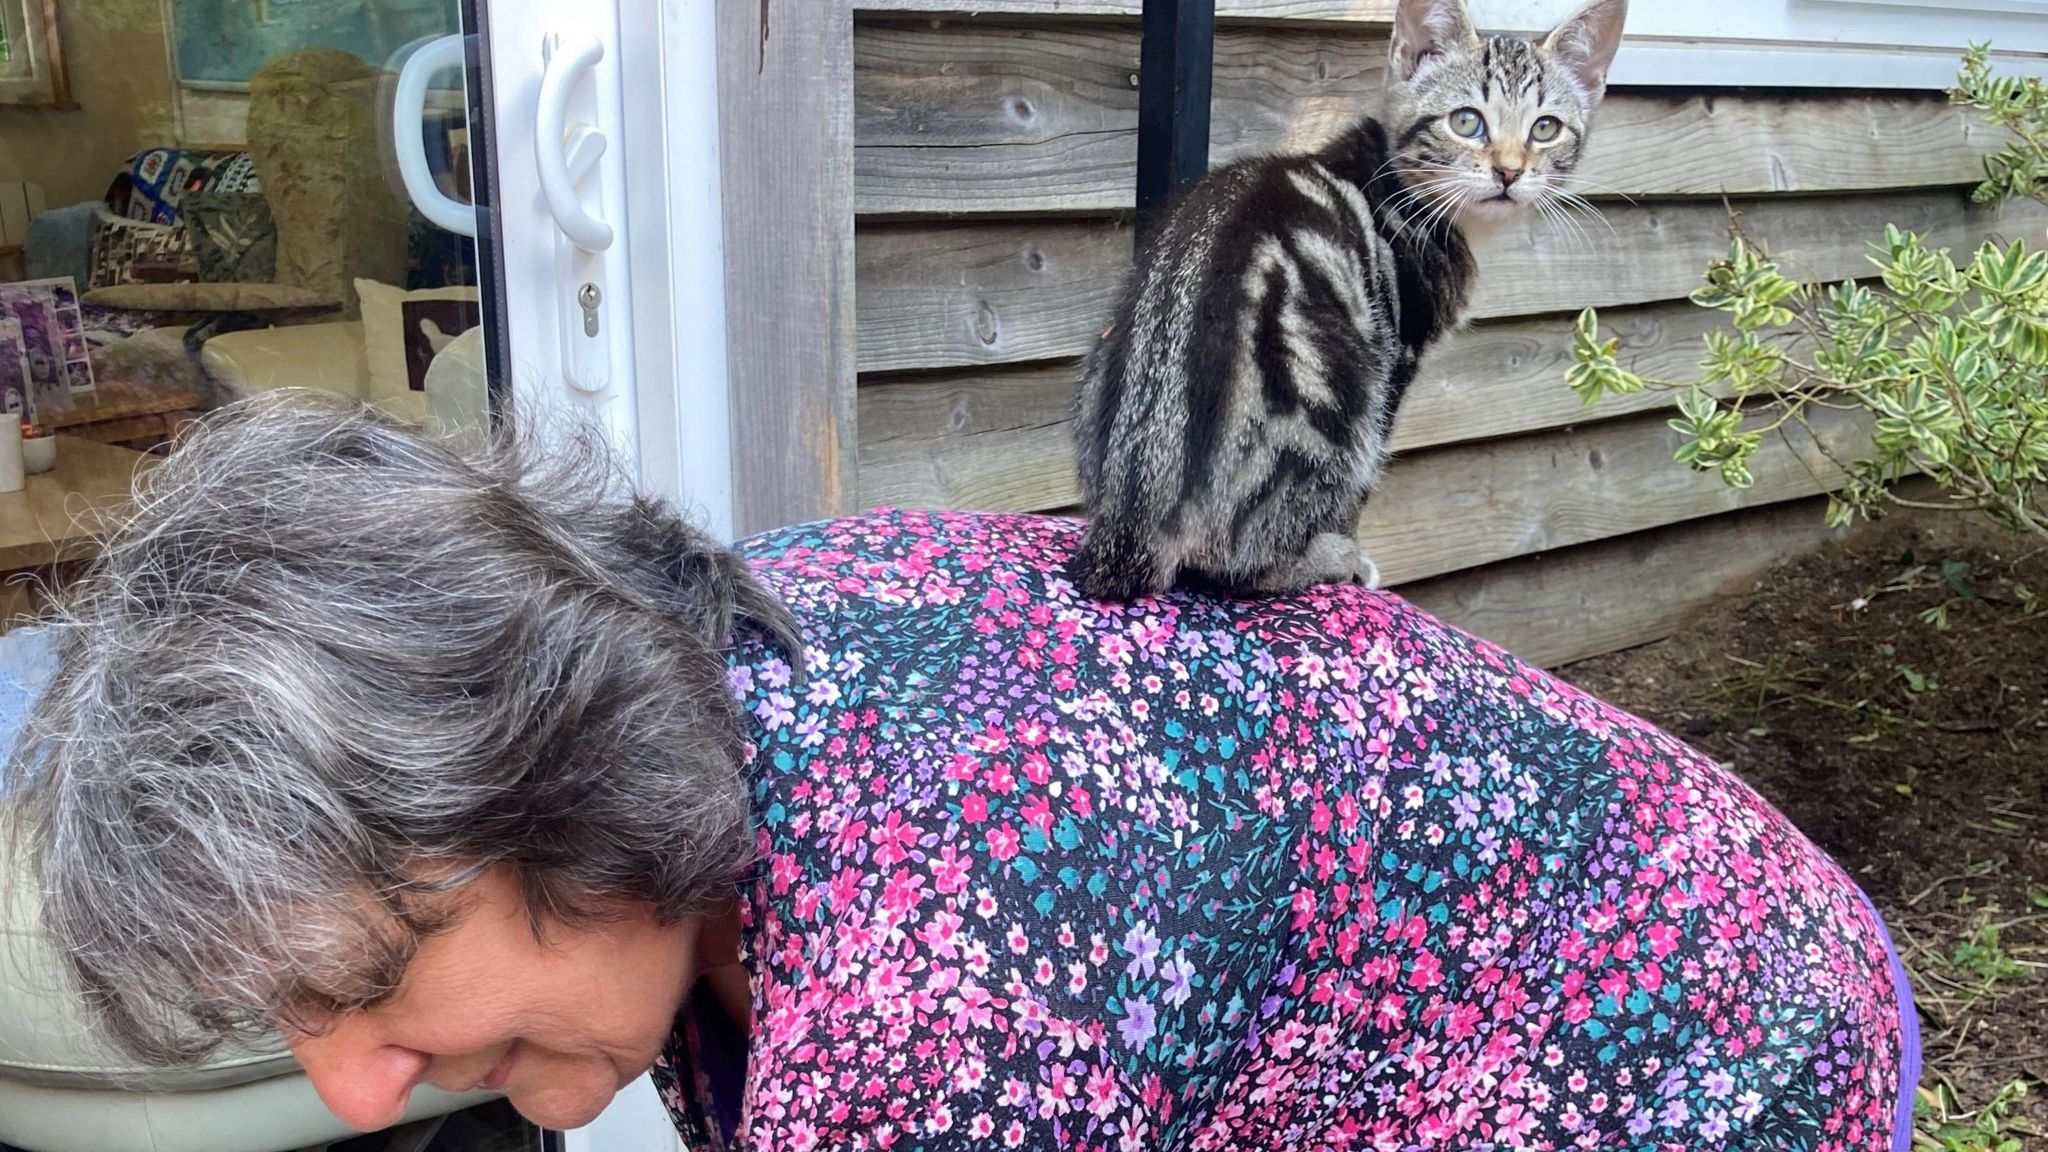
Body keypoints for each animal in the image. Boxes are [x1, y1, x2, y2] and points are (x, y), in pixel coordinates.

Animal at [1073, 0, 1630, 602]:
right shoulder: (1397, 357)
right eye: (1466, 121)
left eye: (1545, 128)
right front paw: (1353, 550)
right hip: (1338, 385)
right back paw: (1320, 558)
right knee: (1237, 564)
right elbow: (1364, 481)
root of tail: (1132, 520)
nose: (1509, 171)